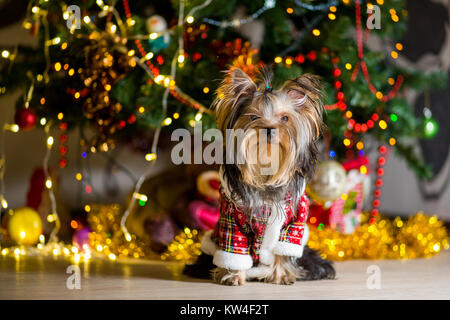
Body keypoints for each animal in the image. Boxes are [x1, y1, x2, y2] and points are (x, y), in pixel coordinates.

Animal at [183, 67, 334, 284]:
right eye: (253, 117)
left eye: (285, 118)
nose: (269, 129)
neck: (266, 170)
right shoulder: (232, 219)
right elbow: (234, 249)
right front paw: (233, 276)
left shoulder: (294, 219)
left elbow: (283, 248)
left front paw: (282, 275)